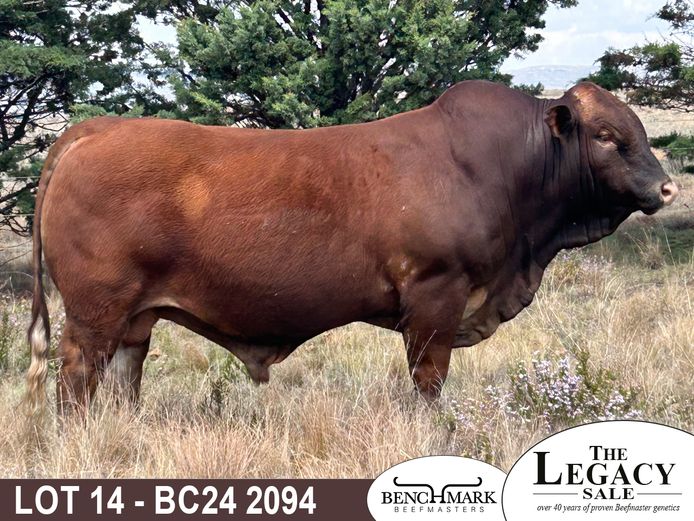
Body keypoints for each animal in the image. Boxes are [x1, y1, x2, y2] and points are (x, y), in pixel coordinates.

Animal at [26, 81, 678, 415]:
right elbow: (429, 381)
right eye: (607, 136)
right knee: (77, 377)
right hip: (95, 310)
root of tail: (97, 128)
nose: (666, 186)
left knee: (122, 377)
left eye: (639, 129)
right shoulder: (436, 296)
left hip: (136, 316)